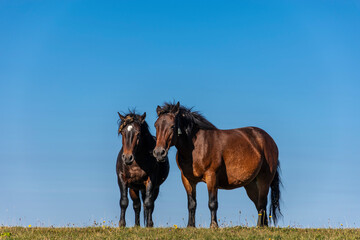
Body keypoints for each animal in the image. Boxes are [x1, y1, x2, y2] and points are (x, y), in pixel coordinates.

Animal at [152, 102, 282, 228]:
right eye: (156, 125)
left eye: (172, 126)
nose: (159, 153)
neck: (197, 147)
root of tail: (269, 140)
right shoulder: (187, 179)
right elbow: (192, 204)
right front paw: (190, 226)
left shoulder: (212, 176)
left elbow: (212, 203)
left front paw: (214, 225)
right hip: (251, 184)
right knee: (259, 204)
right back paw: (263, 226)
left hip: (264, 180)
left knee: (262, 204)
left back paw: (260, 226)